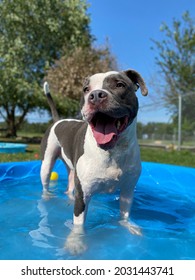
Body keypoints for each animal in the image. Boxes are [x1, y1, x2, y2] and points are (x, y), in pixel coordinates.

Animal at [40, 69, 148, 254]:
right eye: (86, 89)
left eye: (120, 84)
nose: (96, 95)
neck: (113, 151)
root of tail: (58, 120)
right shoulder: (83, 195)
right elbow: (78, 225)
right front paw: (76, 242)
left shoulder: (128, 190)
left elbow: (124, 213)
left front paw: (128, 226)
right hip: (46, 164)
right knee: (46, 182)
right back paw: (47, 197)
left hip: (72, 172)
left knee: (70, 185)